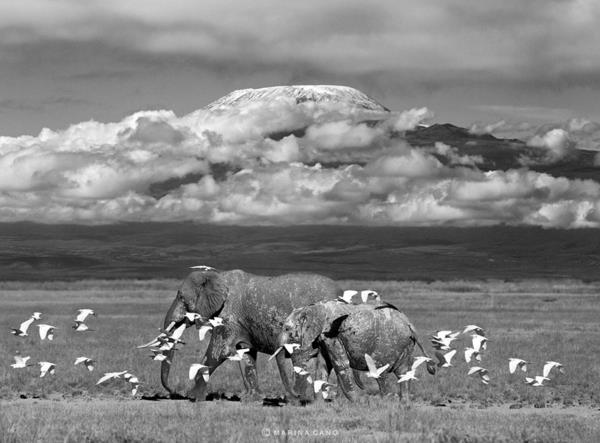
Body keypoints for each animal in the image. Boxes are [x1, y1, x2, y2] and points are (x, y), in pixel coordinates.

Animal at [161, 268, 342, 400]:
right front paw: (253, 398)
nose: (174, 391)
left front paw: (192, 397)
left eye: (181, 297)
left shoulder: (228, 316)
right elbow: (246, 353)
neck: (215, 275)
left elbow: (219, 351)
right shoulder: (241, 323)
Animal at [278, 302, 434, 402]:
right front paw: (320, 404)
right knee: (403, 372)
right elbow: (323, 366)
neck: (313, 307)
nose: (297, 397)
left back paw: (385, 401)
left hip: (389, 344)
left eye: (287, 329)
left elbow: (340, 364)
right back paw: (403, 403)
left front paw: (356, 402)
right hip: (406, 344)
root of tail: (410, 325)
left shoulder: (332, 338)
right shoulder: (323, 341)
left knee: (380, 371)